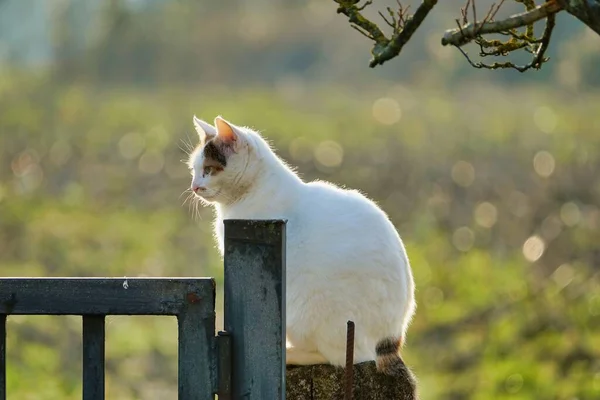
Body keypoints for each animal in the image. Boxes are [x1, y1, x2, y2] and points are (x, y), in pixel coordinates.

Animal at [188, 115, 418, 382]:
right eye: (194, 170)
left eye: (208, 170)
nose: (194, 187)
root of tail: (390, 340)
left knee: (346, 356)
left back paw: (289, 355)